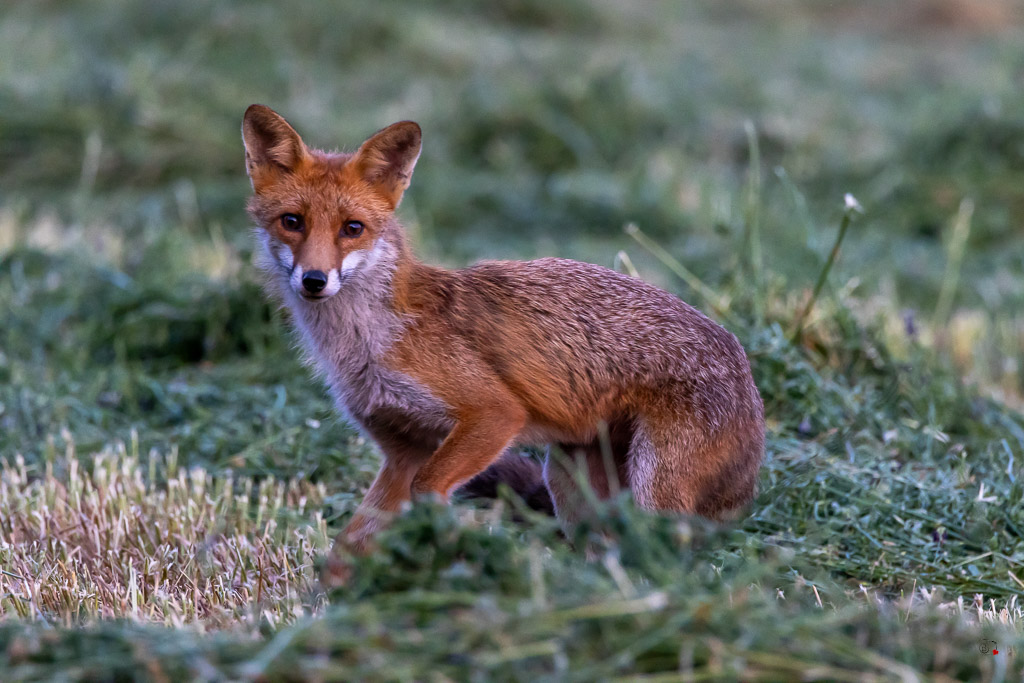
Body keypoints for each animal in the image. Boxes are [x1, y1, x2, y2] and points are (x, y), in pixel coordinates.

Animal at [241, 104, 765, 556]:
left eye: (352, 228)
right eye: (292, 222)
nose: (314, 280)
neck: (368, 342)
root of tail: (745, 368)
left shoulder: (492, 414)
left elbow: (428, 490)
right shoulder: (402, 448)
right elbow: (349, 544)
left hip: (654, 488)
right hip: (570, 479)